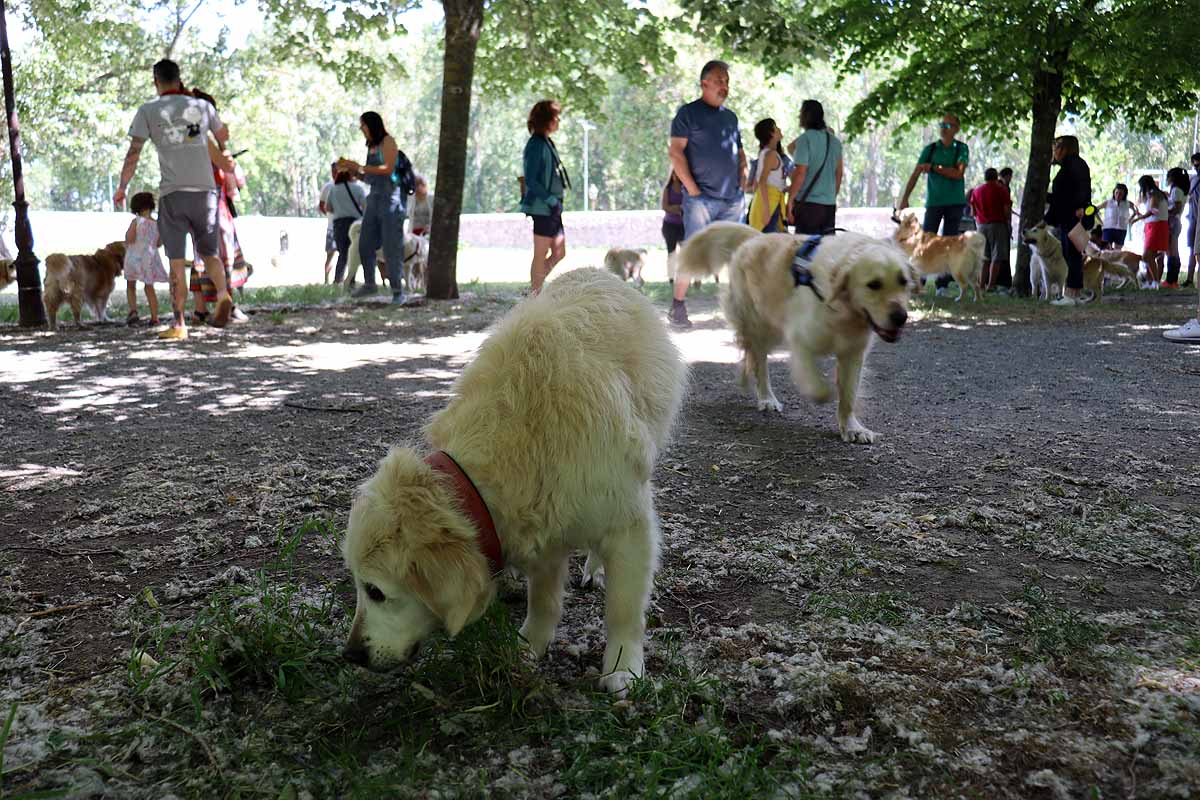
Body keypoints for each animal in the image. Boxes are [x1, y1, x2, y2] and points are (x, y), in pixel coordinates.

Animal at [343, 268, 691, 695]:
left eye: (375, 591)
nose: (350, 655)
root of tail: (597, 271)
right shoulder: (542, 525)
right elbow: (543, 598)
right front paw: (529, 645)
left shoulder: (628, 524)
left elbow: (623, 609)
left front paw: (623, 666)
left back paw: (595, 569)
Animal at [676, 220, 907, 443]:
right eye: (873, 284)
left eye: (904, 281)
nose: (901, 317)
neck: (843, 309)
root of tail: (755, 237)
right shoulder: (800, 340)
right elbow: (818, 384)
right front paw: (823, 395)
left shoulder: (853, 353)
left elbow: (849, 394)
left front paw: (853, 428)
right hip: (760, 327)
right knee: (757, 362)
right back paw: (766, 398)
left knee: (748, 355)